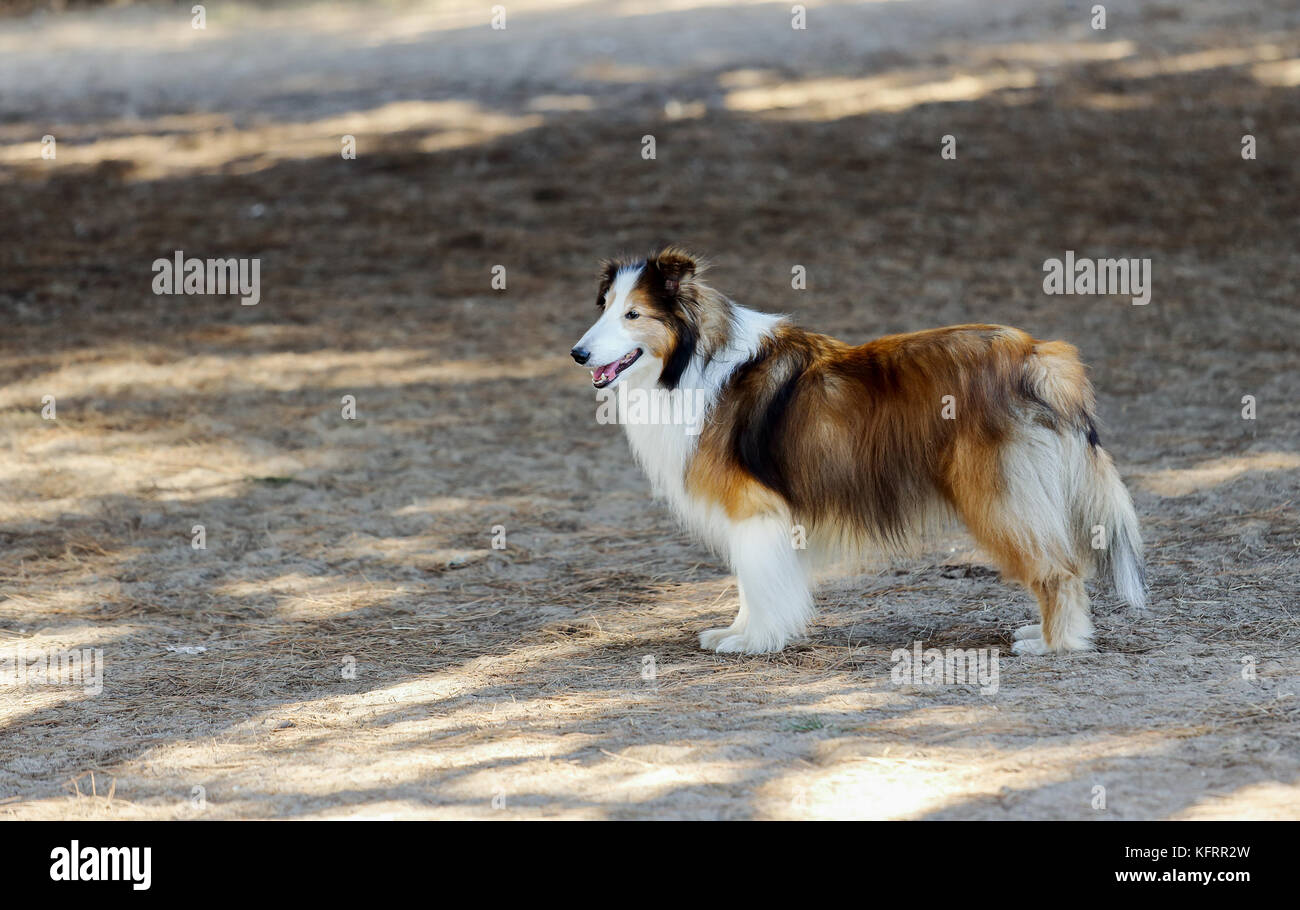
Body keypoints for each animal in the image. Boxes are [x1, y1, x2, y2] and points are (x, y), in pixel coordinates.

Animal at [574, 246, 1144, 655]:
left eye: (633, 314)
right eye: (603, 309)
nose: (578, 354)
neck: (694, 360)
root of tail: (1038, 355)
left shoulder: (754, 511)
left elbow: (757, 584)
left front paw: (752, 641)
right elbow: (750, 586)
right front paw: (737, 633)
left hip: (998, 500)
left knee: (1059, 572)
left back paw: (1052, 644)